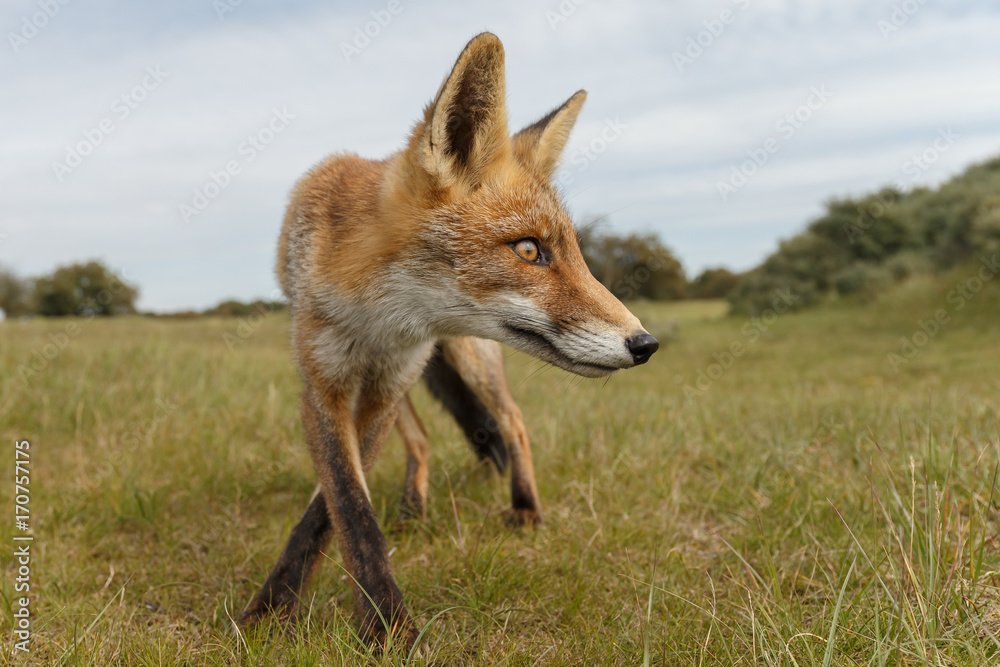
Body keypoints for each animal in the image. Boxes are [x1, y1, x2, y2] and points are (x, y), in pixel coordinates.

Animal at [239, 32, 659, 648]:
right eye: (529, 249)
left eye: (576, 253)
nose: (645, 344)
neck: (378, 319)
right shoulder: (327, 382)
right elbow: (346, 503)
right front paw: (281, 611)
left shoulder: (385, 382)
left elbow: (330, 513)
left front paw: (379, 626)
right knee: (421, 439)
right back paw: (414, 505)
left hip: (464, 359)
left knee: (512, 420)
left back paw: (524, 507)